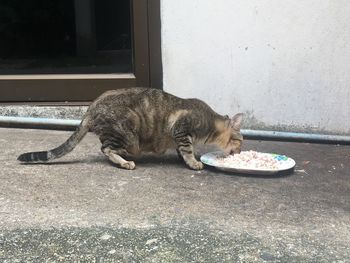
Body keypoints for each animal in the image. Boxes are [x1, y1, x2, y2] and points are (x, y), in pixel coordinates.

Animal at [17, 88, 243, 171]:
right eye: (240, 141)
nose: (240, 151)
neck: (210, 122)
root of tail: (90, 109)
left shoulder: (179, 136)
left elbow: (182, 150)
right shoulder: (181, 128)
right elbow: (187, 150)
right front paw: (194, 162)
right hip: (128, 131)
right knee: (106, 149)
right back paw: (125, 162)